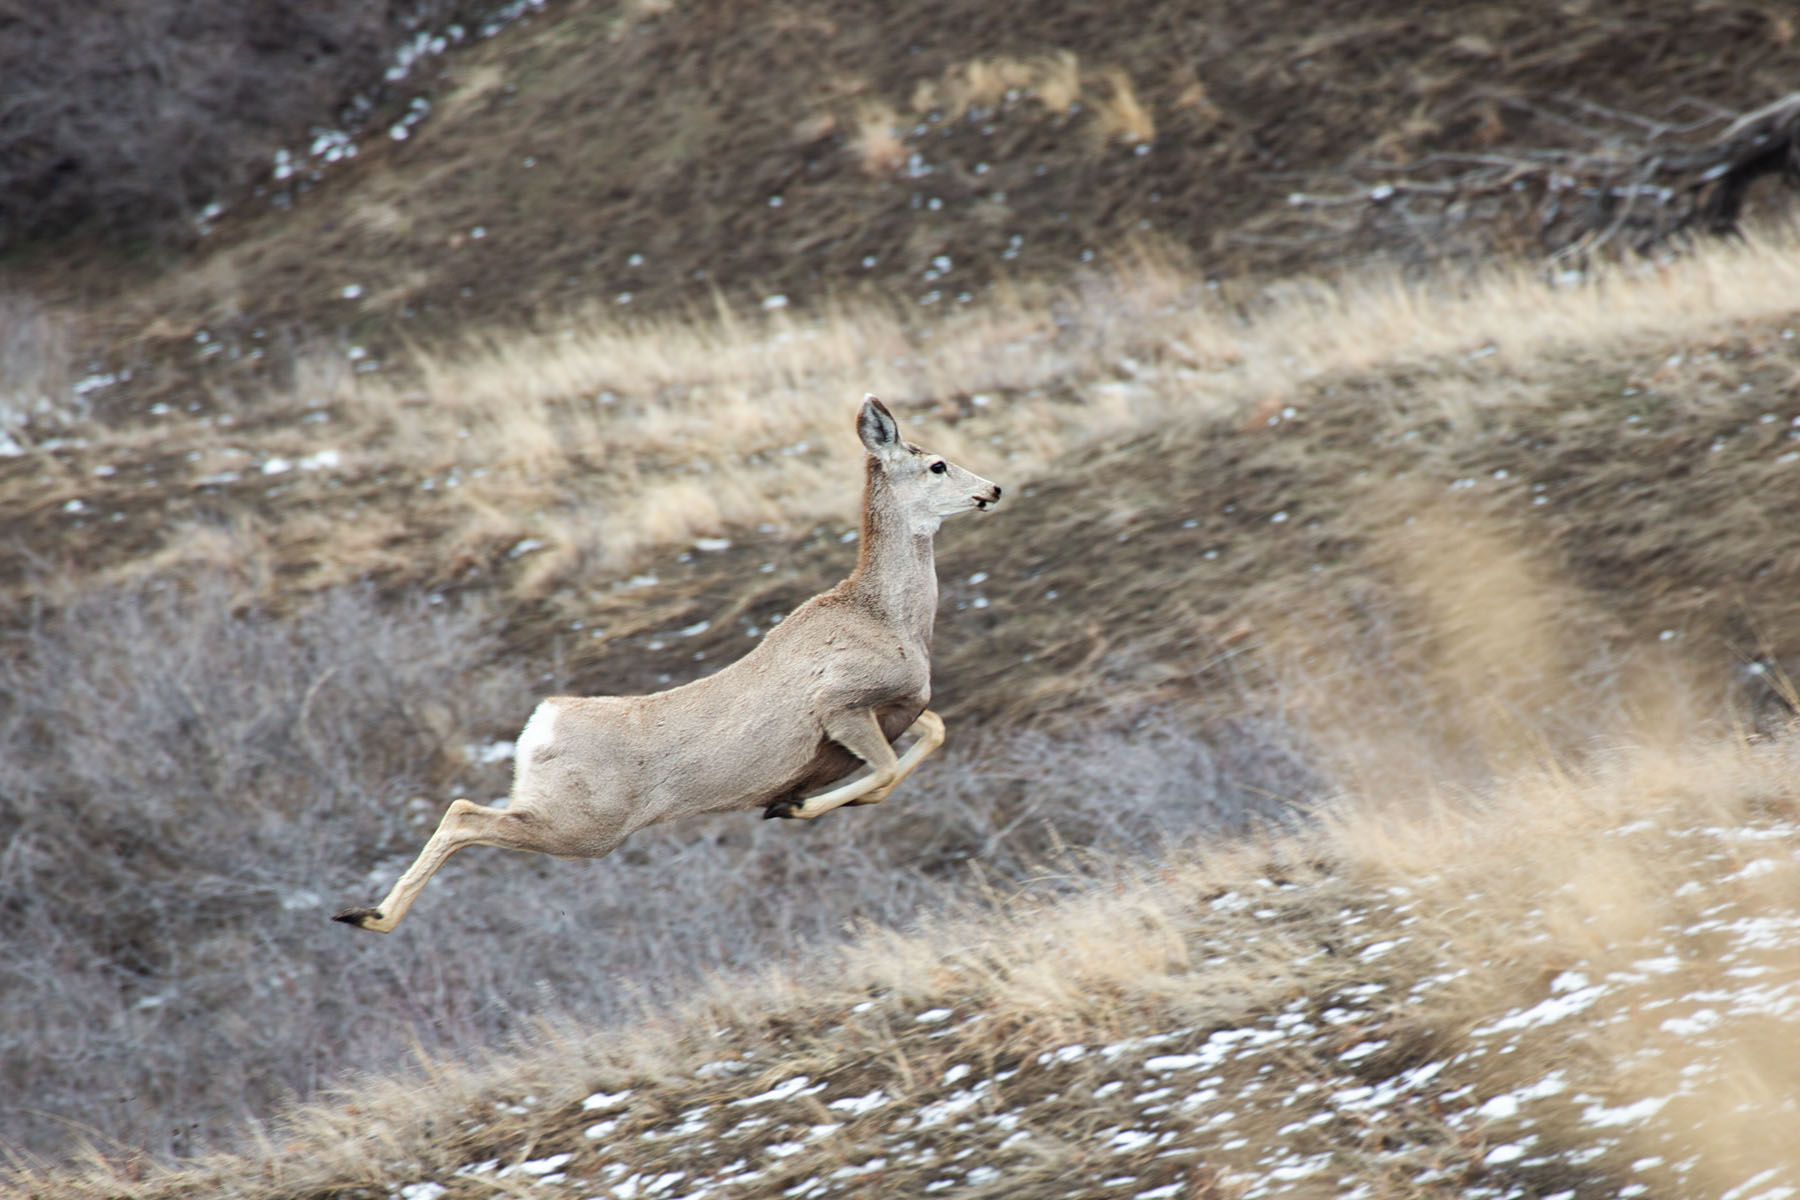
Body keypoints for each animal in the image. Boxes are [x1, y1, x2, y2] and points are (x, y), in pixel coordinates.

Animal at [334, 399, 1000, 935]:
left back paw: (363, 913)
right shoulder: (840, 706)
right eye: (938, 465)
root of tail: (540, 723)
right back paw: (370, 917)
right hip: (584, 825)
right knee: (462, 814)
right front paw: (789, 805)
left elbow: (934, 733)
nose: (992, 489)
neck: (889, 618)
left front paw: (806, 803)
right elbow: (885, 771)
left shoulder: (901, 707)